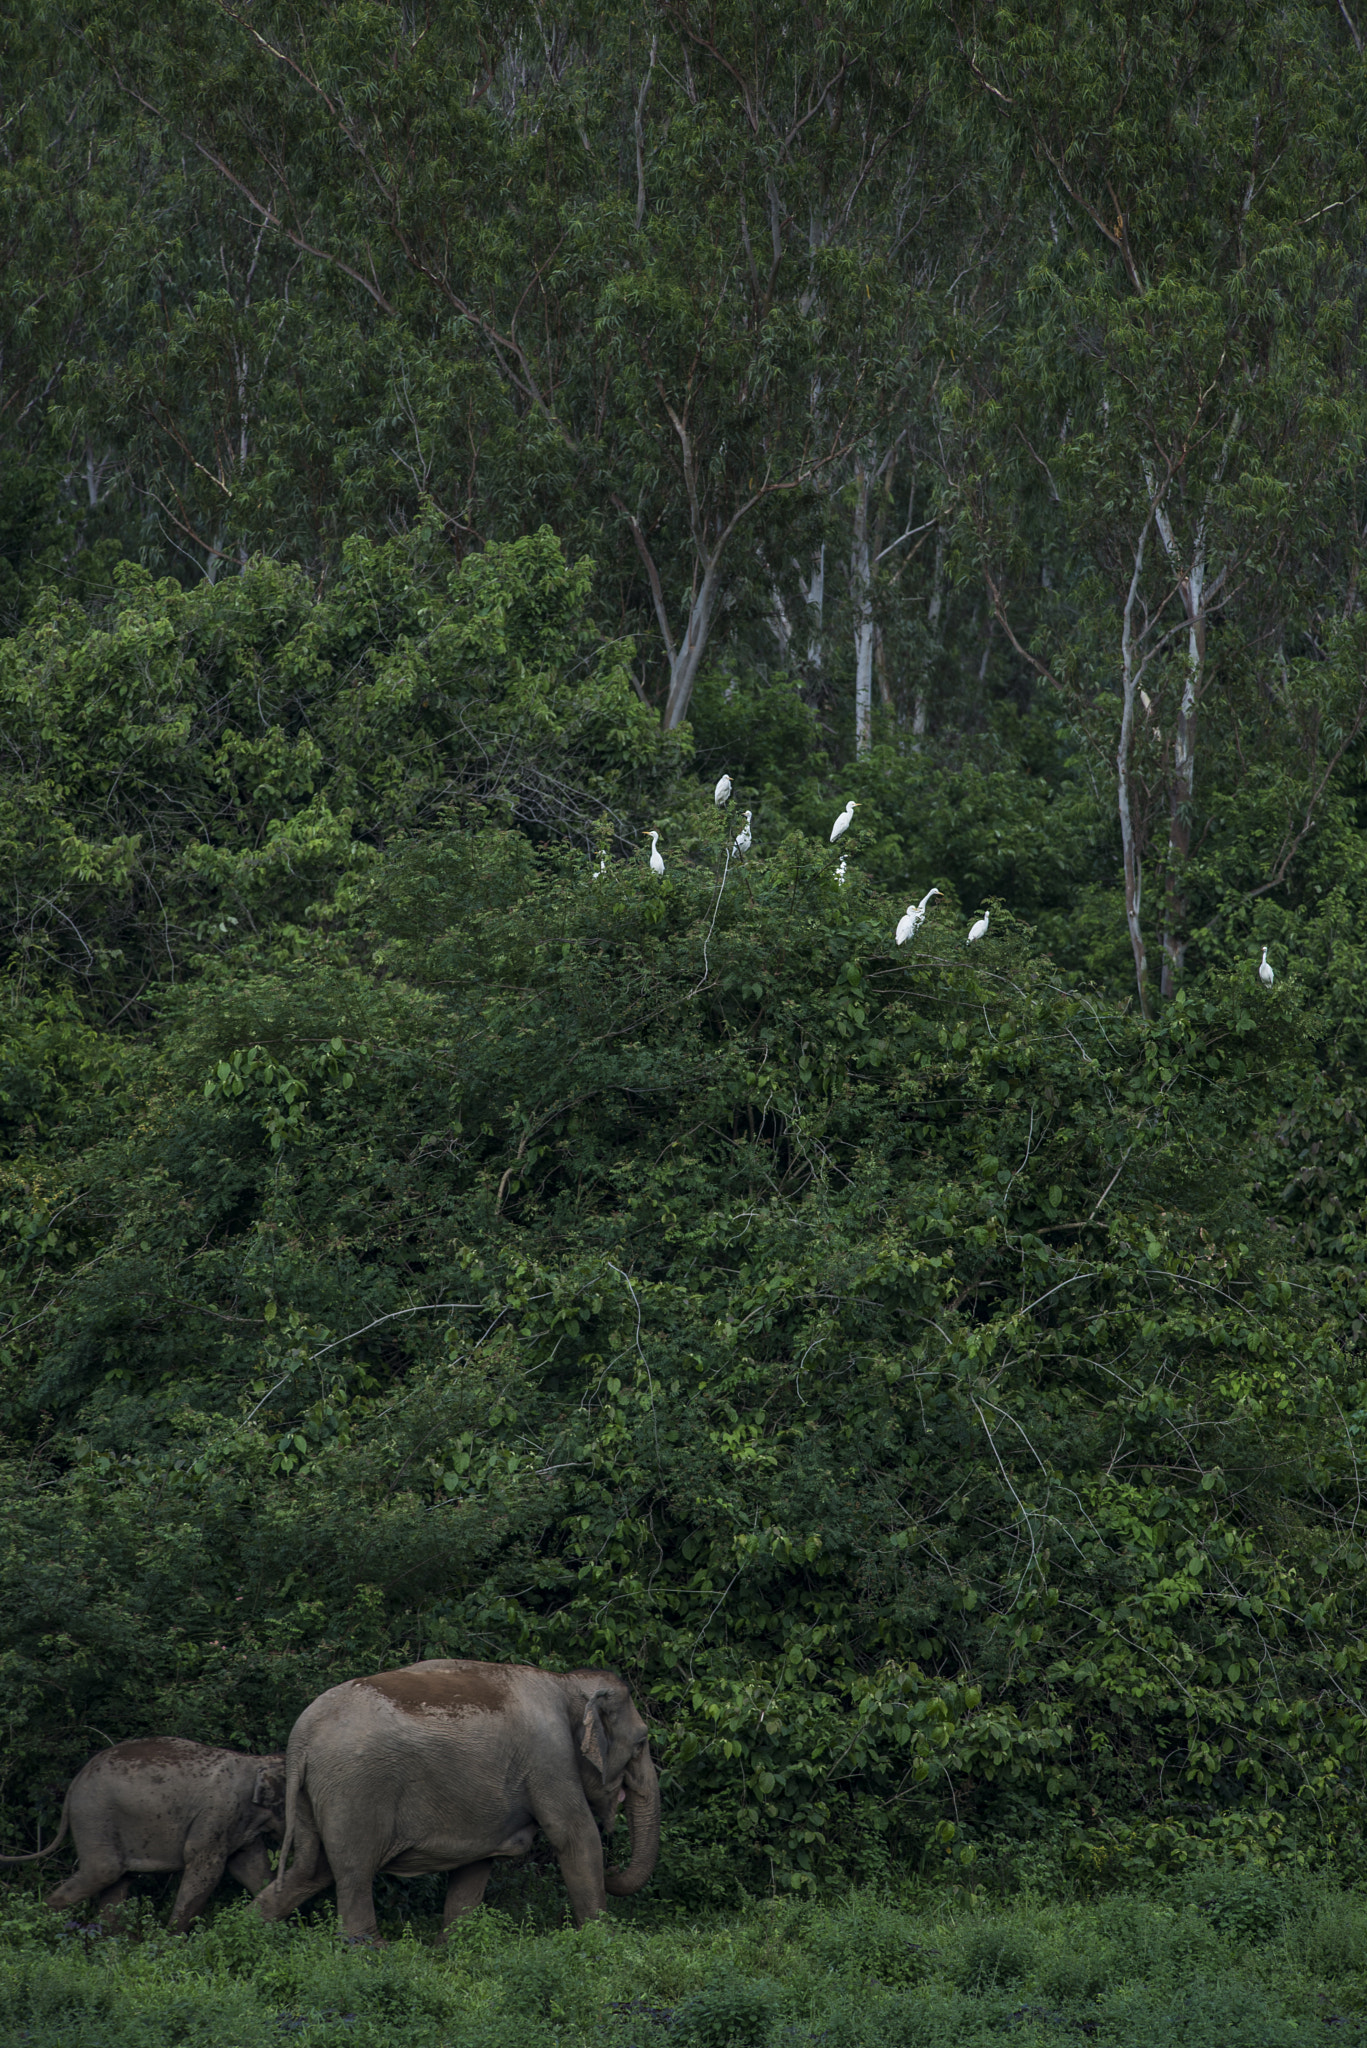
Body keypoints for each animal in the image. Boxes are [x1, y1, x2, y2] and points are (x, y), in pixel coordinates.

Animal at [0, 1736, 286, 1925]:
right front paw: (173, 1945)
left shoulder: (241, 1824)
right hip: (94, 1814)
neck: (257, 1763)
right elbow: (206, 1867)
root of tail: (74, 1784)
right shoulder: (218, 1814)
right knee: (104, 1871)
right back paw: (38, 1925)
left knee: (117, 1883)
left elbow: (251, 1868)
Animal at [260, 1654, 664, 1941]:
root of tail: (300, 1739)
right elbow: (576, 1836)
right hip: (354, 1789)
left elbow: (476, 1865)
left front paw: (453, 1946)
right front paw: (602, 1942)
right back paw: (372, 1952)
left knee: (310, 1870)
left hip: (319, 1795)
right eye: (641, 1742)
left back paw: (250, 1929)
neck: (565, 1682)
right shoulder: (549, 1757)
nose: (614, 1869)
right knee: (353, 1871)